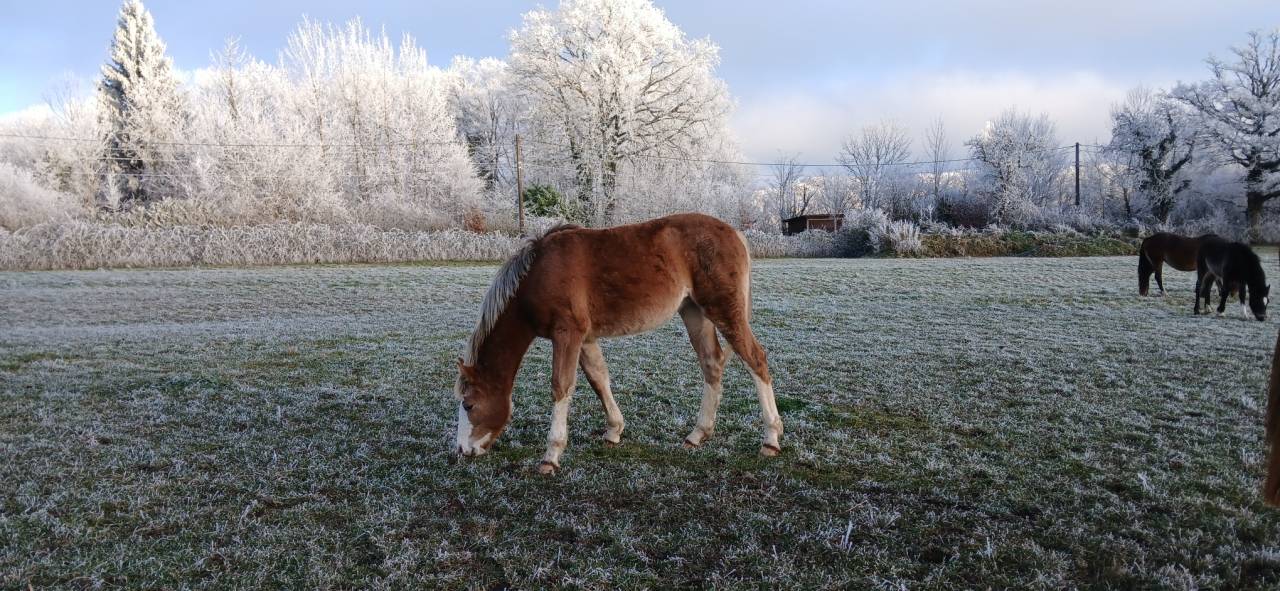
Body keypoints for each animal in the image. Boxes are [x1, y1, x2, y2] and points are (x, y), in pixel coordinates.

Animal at [453, 213, 783, 474]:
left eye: (469, 405)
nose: (462, 451)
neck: (538, 273)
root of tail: (734, 233)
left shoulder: (567, 333)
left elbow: (561, 386)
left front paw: (551, 456)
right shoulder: (585, 338)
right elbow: (598, 379)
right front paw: (614, 430)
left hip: (724, 311)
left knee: (756, 359)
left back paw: (771, 439)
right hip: (694, 312)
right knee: (712, 364)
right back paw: (697, 435)